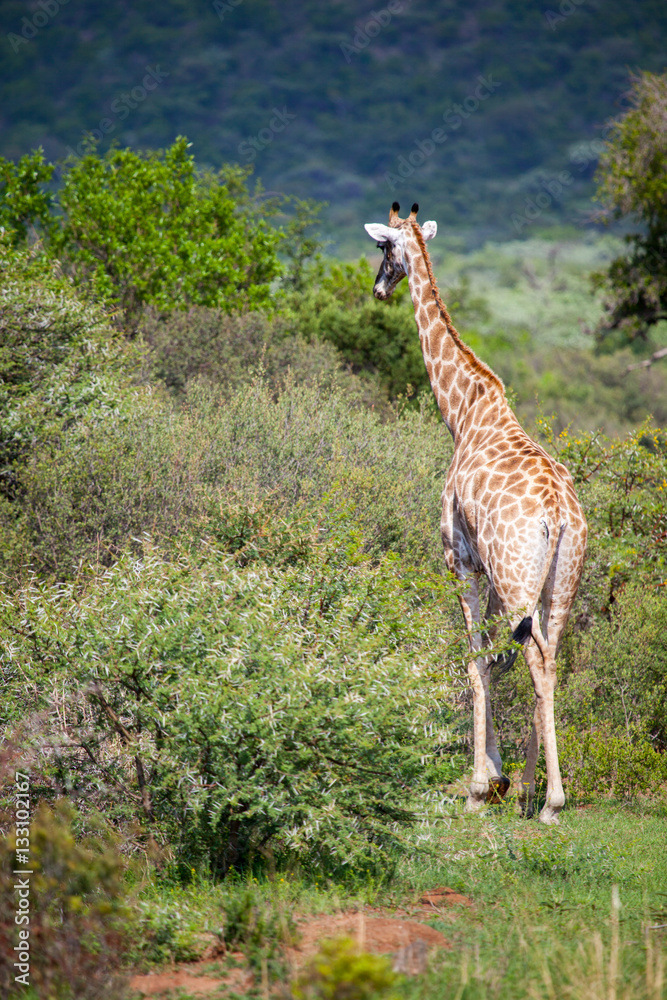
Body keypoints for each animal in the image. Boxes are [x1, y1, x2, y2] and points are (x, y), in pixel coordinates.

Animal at [364, 203, 587, 824]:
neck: (462, 411)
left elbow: (474, 658)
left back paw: (551, 801)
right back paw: (535, 788)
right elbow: (492, 654)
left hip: (517, 576)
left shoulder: (459, 558)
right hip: (557, 581)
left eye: (383, 249)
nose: (379, 288)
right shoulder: (488, 570)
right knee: (550, 656)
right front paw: (502, 775)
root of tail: (559, 515)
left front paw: (479, 785)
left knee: (534, 655)